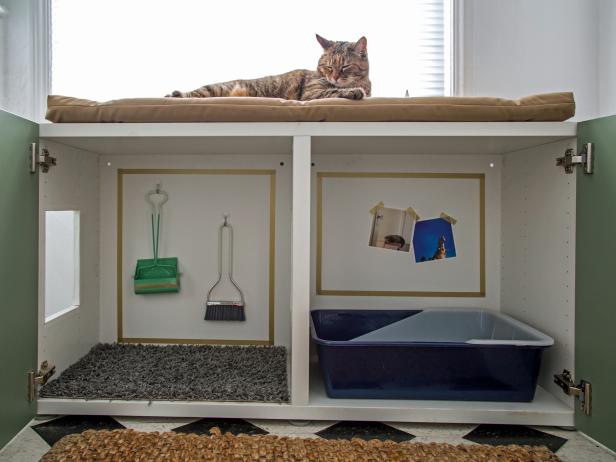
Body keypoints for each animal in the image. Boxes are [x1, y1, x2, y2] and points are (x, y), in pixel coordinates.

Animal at [168, 35, 370, 101]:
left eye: (345, 66)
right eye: (328, 67)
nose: (334, 77)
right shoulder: (311, 94)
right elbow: (332, 91)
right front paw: (353, 91)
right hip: (214, 89)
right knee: (193, 94)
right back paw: (176, 95)